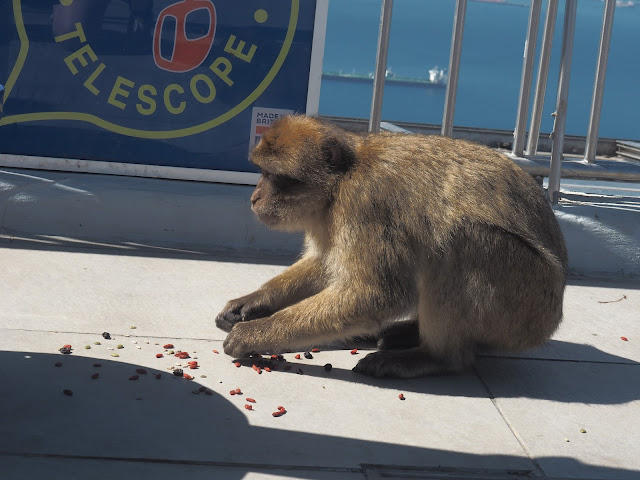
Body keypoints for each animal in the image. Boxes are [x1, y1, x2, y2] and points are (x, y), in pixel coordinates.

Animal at [218, 114, 568, 376]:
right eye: (262, 172)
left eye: (274, 176)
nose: (255, 197)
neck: (341, 181)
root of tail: (553, 319)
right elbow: (323, 263)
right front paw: (252, 303)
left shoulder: (364, 204)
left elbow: (377, 292)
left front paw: (257, 333)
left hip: (526, 305)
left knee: (461, 241)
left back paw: (436, 356)